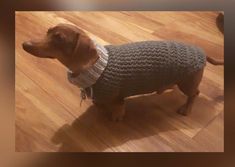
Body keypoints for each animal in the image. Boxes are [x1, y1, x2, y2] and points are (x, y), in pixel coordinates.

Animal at [22, 23, 224, 121]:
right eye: (48, 31)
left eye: (59, 39)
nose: (24, 44)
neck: (98, 67)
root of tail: (201, 53)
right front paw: (99, 105)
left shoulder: (118, 97)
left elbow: (118, 108)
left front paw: (115, 116)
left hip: (187, 83)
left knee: (195, 94)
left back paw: (186, 109)